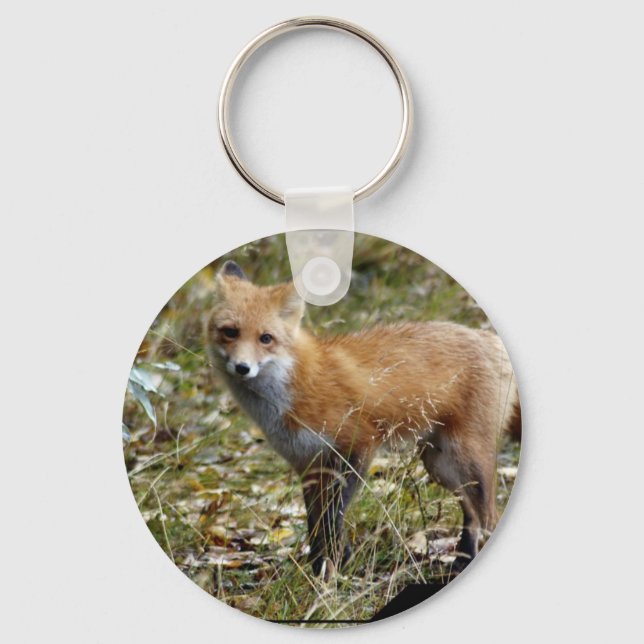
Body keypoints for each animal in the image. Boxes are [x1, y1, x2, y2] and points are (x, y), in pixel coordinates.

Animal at [204, 260, 520, 576]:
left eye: (266, 339)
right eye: (230, 332)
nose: (242, 367)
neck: (295, 387)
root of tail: (488, 337)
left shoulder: (357, 446)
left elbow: (333, 517)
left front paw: (334, 566)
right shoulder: (308, 463)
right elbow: (315, 523)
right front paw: (318, 567)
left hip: (465, 458)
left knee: (488, 516)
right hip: (439, 464)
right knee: (472, 516)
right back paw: (462, 560)